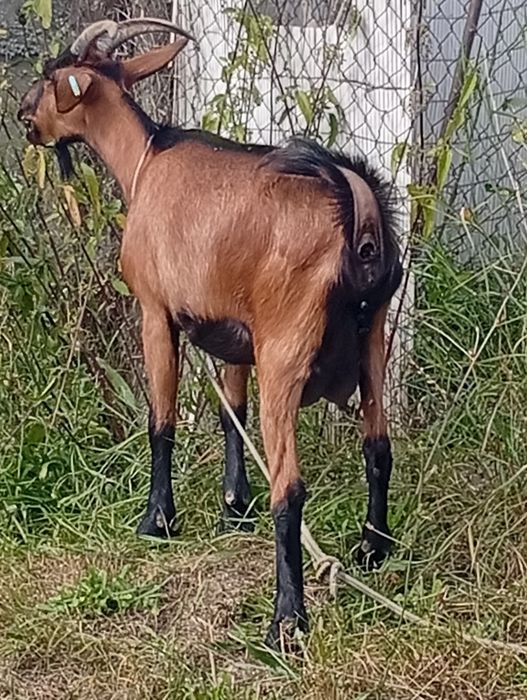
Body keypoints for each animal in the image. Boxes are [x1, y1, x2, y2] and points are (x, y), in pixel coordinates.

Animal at [18, 18, 403, 647]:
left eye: (53, 80)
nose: (26, 117)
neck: (147, 158)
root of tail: (357, 202)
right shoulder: (236, 331)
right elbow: (231, 414)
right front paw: (232, 507)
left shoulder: (155, 311)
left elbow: (161, 420)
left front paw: (157, 520)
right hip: (372, 339)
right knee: (378, 447)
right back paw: (372, 550)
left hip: (286, 349)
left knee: (290, 488)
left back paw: (286, 621)